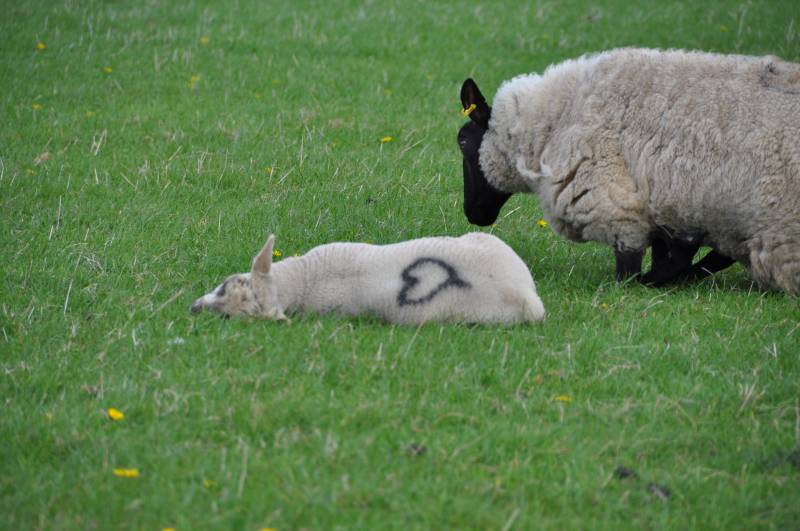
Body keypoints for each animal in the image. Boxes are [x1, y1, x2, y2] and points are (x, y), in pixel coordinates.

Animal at [457, 48, 800, 293]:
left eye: (462, 140)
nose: (474, 215)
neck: (558, 116)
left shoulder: (612, 204)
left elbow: (629, 275)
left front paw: (673, 260)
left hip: (774, 229)